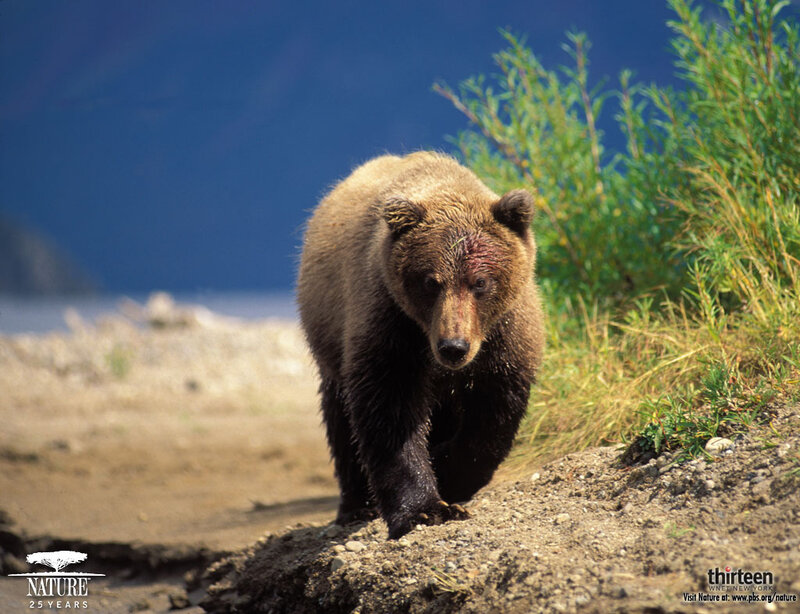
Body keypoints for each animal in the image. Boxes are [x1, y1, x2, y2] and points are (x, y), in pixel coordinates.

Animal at [297, 151, 544, 539]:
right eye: (430, 282)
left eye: (480, 281)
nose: (453, 347)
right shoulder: (391, 322)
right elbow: (390, 413)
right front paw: (425, 509)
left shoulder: (505, 337)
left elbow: (492, 417)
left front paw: (449, 472)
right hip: (330, 335)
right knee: (339, 417)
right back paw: (355, 504)